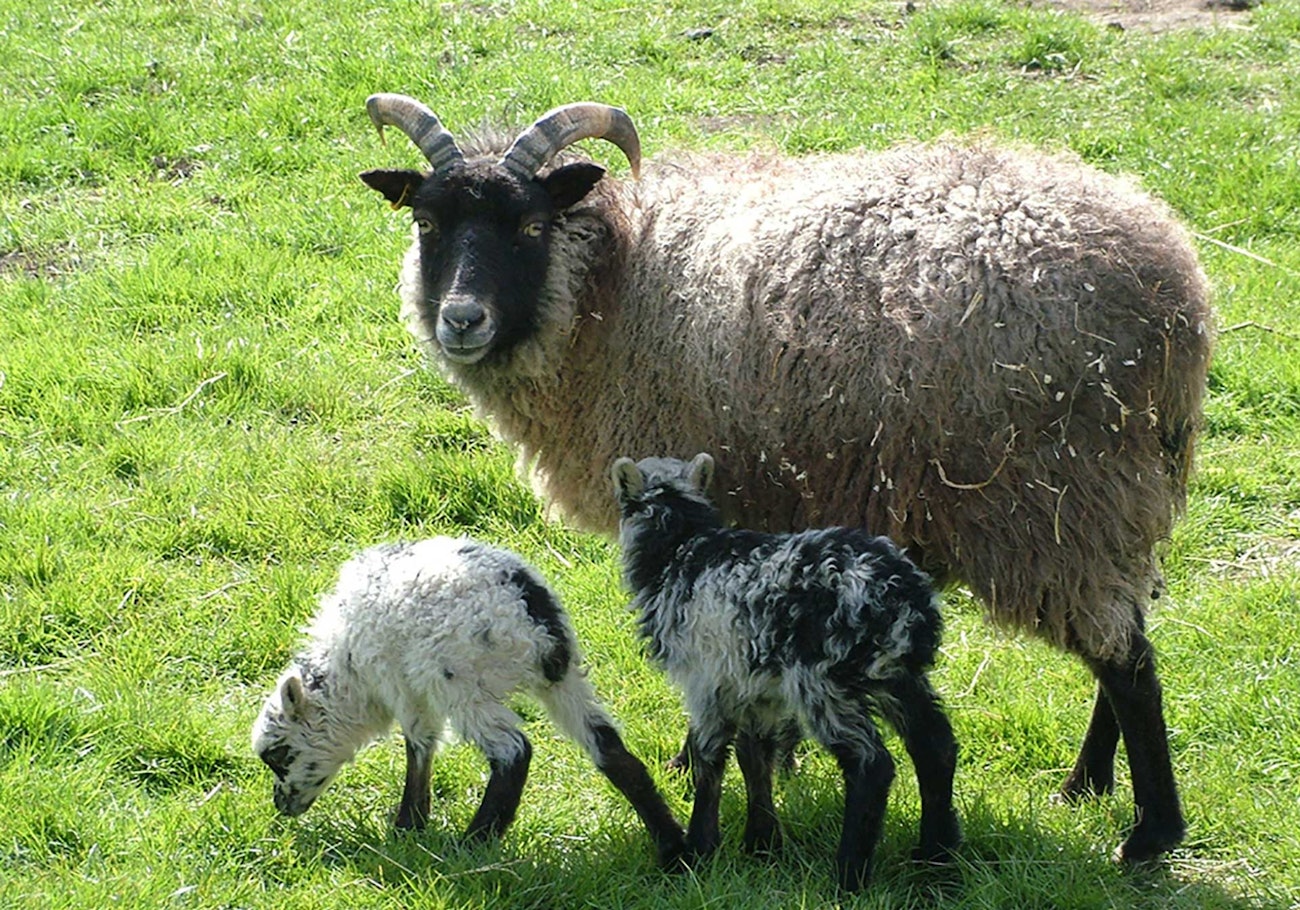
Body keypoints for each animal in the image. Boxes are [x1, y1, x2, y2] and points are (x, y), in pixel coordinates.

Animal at [250, 536, 685, 866]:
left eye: (278, 754)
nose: (280, 805)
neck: (348, 671)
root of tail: (536, 617)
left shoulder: (403, 684)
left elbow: (419, 745)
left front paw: (408, 824)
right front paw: (411, 825)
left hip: (463, 683)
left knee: (514, 752)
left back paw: (473, 843)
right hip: (563, 682)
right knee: (611, 751)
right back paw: (672, 849)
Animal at [610, 452, 959, 892]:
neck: (681, 550)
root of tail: (904, 600)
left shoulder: (707, 681)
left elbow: (710, 760)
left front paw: (700, 848)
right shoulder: (756, 686)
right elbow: (755, 756)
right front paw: (762, 844)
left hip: (822, 681)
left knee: (871, 764)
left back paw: (849, 875)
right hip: (896, 676)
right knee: (935, 746)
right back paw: (937, 860)